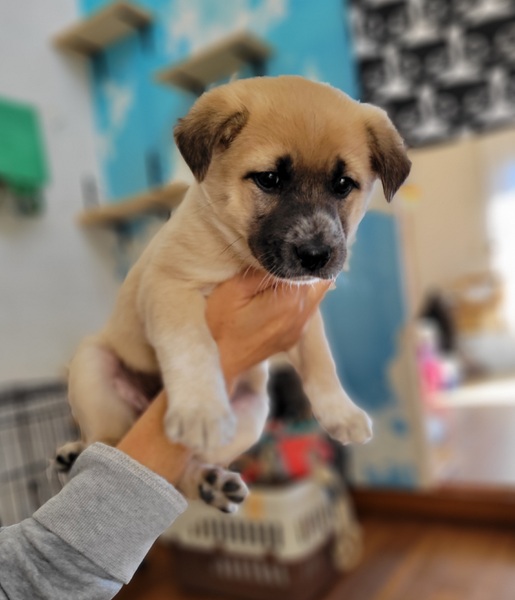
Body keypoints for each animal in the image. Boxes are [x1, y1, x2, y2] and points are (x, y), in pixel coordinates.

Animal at [57, 76, 411, 512]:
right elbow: (193, 346)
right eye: (269, 179)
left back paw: (210, 482)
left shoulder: (301, 313)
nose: (316, 256)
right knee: (106, 439)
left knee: (179, 470)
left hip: (253, 411)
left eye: (343, 184)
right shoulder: (170, 286)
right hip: (93, 364)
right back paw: (75, 453)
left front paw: (340, 412)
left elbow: (321, 360)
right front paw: (201, 411)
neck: (243, 258)